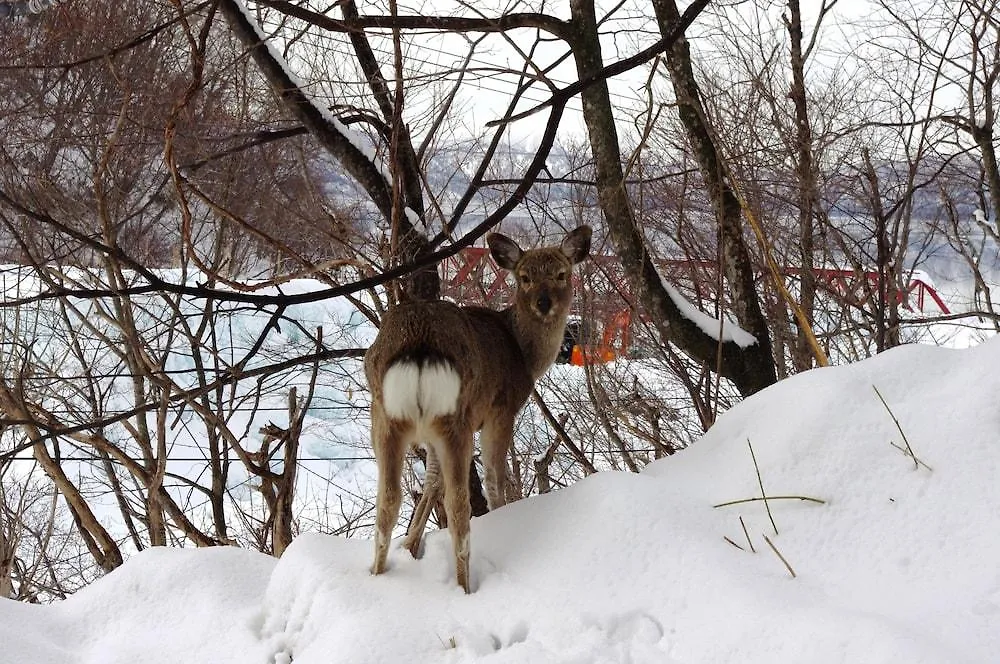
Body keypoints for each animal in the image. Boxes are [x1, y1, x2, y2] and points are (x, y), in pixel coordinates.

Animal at [364, 226, 588, 592]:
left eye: (561, 274)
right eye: (524, 277)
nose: (544, 303)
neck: (524, 356)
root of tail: (419, 344)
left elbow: (431, 480)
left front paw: (411, 546)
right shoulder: (500, 410)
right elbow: (495, 476)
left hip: (384, 415)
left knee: (388, 500)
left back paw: (376, 573)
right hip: (456, 415)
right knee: (459, 504)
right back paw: (464, 587)